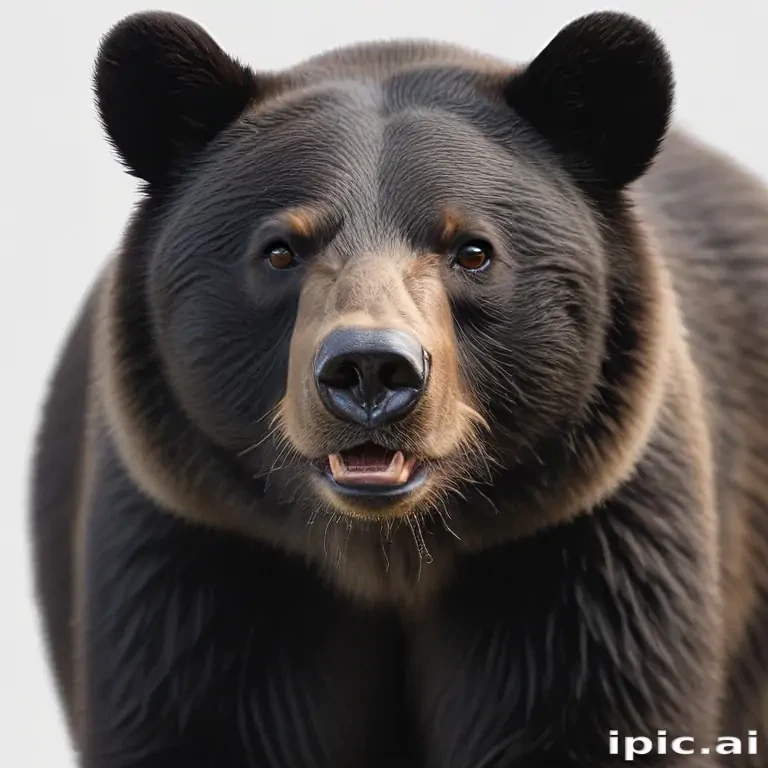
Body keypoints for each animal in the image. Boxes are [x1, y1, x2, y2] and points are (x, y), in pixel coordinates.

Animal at [28, 7, 768, 767]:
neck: (391, 557)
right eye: (280, 249)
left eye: (472, 250)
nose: (370, 370)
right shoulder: (200, 551)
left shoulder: (586, 555)